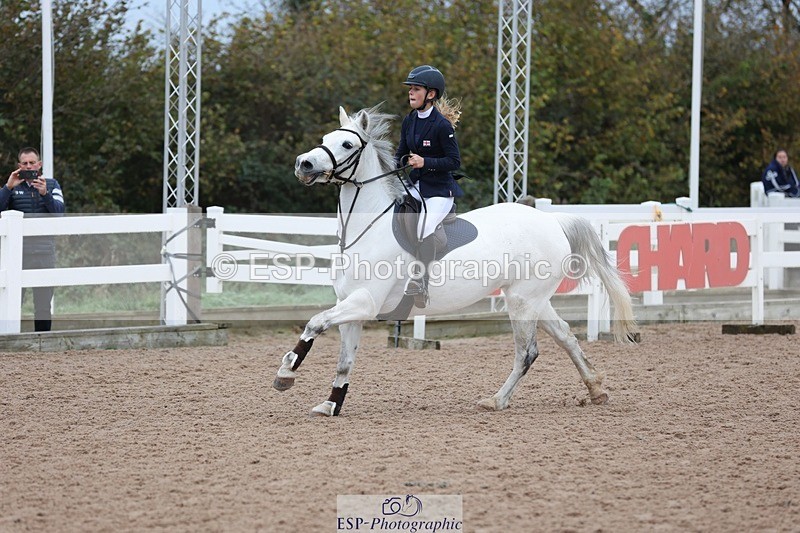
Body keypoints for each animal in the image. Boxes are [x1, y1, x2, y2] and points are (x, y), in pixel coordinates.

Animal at [273, 105, 637, 416]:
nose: (303, 163)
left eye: (347, 144)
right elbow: (344, 361)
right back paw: (595, 389)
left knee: (527, 352)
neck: (368, 227)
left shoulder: (365, 302)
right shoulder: (351, 307)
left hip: (521, 301)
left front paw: (286, 372)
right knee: (565, 336)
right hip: (533, 299)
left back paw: (496, 400)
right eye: (324, 139)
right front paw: (331, 404)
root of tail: (553, 221)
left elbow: (314, 323)